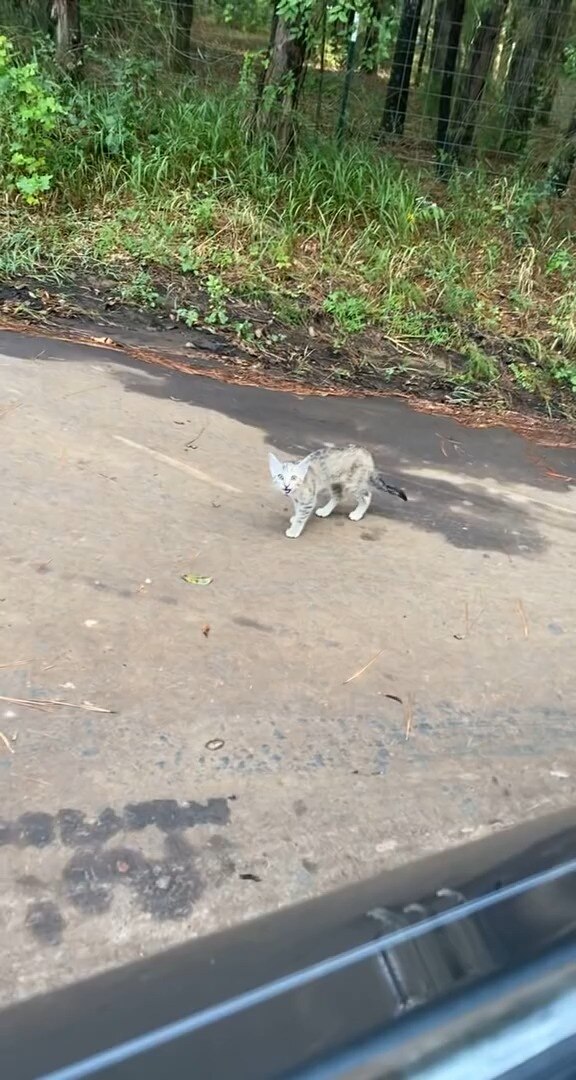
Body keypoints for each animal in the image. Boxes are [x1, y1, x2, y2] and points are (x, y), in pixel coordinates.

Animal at [266, 440, 406, 537]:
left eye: (294, 477)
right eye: (280, 476)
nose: (286, 486)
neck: (297, 491)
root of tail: (366, 452)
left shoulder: (308, 500)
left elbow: (302, 515)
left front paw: (294, 530)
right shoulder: (297, 499)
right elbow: (298, 509)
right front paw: (295, 518)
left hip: (353, 483)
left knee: (366, 496)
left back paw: (357, 514)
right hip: (334, 483)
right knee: (339, 496)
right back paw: (325, 511)